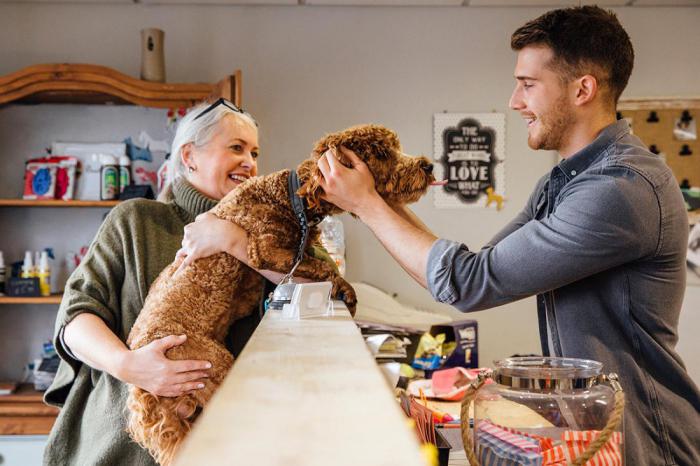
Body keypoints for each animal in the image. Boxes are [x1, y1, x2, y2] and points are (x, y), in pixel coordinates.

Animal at [123, 123, 434, 462]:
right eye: (380, 152)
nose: (428, 166)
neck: (291, 197)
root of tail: (143, 390)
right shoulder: (265, 248)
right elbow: (323, 267)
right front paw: (347, 292)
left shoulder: (300, 249)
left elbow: (319, 261)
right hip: (210, 365)